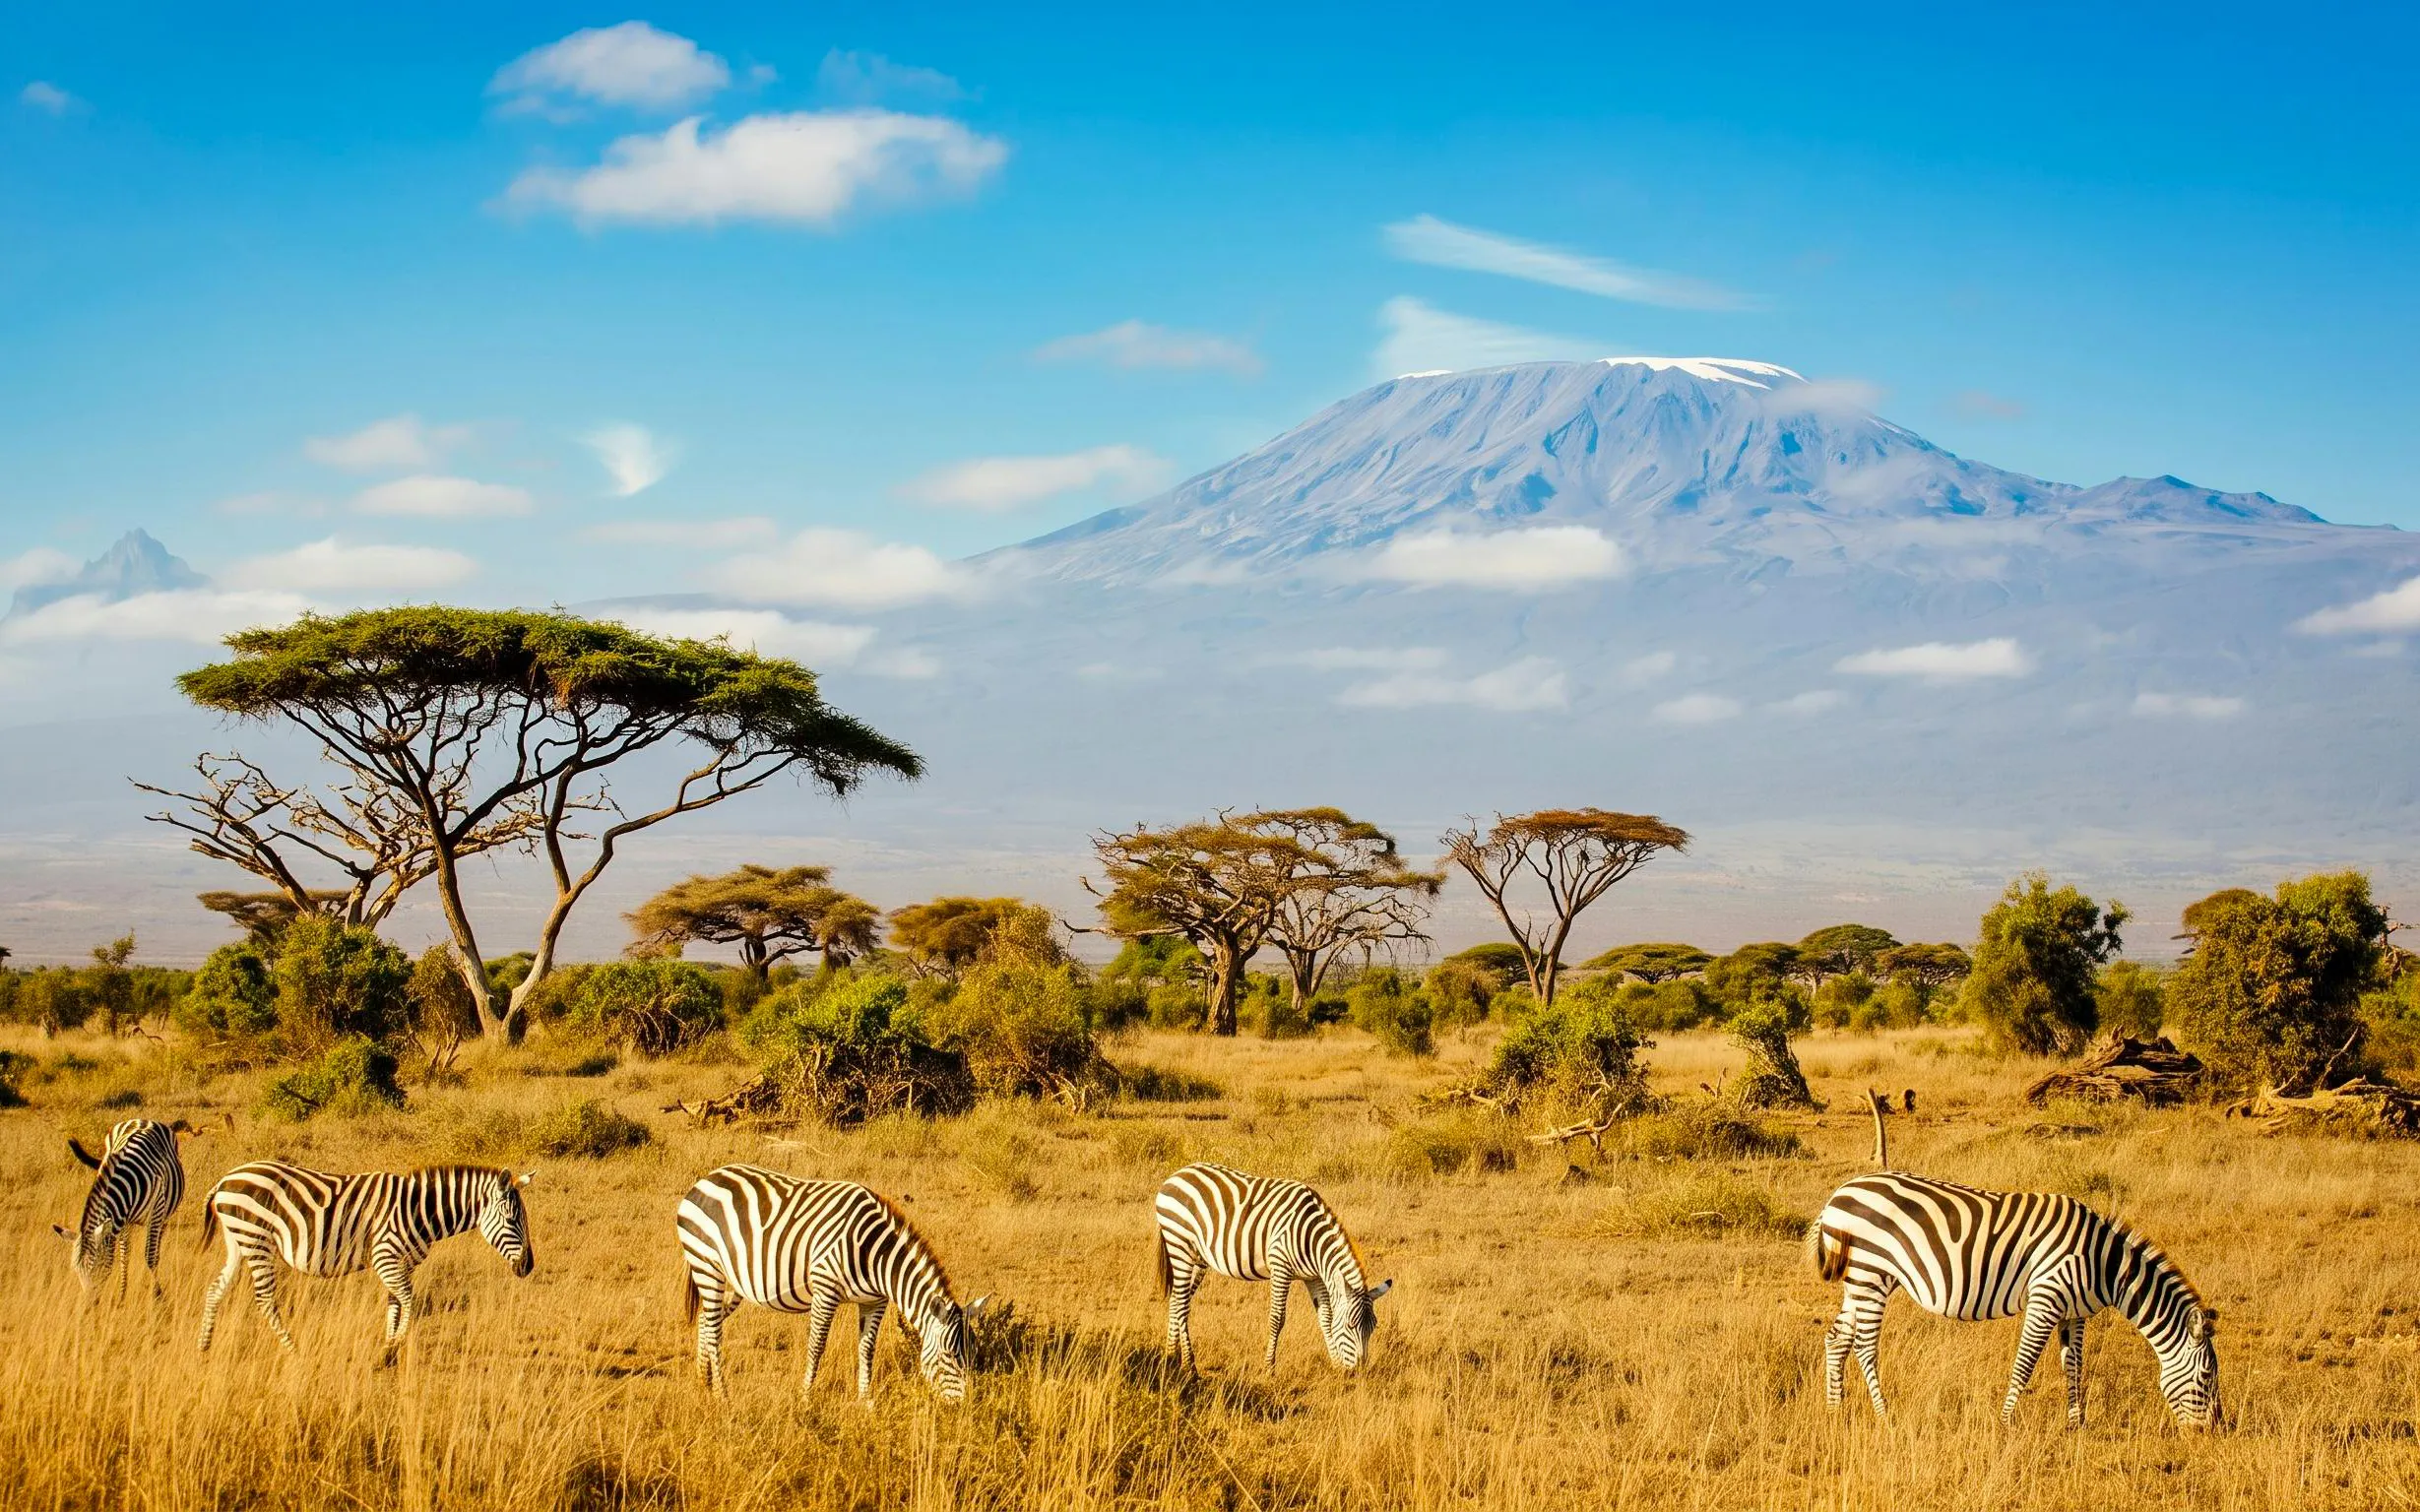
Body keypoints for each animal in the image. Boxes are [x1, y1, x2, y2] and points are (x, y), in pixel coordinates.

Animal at [53, 1118, 195, 1297]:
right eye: (76, 1271)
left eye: (97, 1267)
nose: (90, 1303)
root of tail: (143, 1119)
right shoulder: (123, 1218)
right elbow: (124, 1255)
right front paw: (122, 1295)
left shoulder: (156, 1210)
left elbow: (150, 1257)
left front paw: (158, 1295)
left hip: (163, 1212)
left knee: (156, 1248)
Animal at [197, 1162, 535, 1354]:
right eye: (511, 1220)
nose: (528, 1266)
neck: (420, 1210)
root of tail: (225, 1180)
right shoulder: (385, 1256)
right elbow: (409, 1301)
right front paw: (391, 1350)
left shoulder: (400, 1263)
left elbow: (395, 1304)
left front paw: (388, 1346)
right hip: (257, 1239)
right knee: (265, 1299)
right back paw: (293, 1349)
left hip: (238, 1240)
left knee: (215, 1289)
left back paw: (204, 1346)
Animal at [676, 1165, 989, 1404]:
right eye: (948, 1356)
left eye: (972, 1352)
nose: (964, 1407)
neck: (874, 1255)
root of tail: (706, 1178)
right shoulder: (825, 1289)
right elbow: (816, 1346)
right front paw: (806, 1399)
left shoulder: (875, 1301)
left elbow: (867, 1349)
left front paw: (867, 1403)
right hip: (706, 1266)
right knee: (715, 1331)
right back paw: (723, 1396)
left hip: (731, 1279)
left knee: (707, 1319)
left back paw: (704, 1381)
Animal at [1153, 1161, 1391, 1374]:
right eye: (1350, 1326)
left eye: (1373, 1327)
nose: (1359, 1372)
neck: (1311, 1239)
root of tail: (1177, 1173)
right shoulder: (1281, 1267)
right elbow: (1277, 1318)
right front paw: (1269, 1368)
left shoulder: (1313, 1276)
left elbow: (1326, 1317)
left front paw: (1335, 1364)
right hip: (1179, 1245)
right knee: (1182, 1305)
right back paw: (1190, 1366)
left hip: (1197, 1257)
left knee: (1177, 1299)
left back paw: (1171, 1356)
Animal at [1808, 1171, 2221, 1429]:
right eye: (2206, 1376)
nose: (2215, 1430)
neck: (2104, 1265)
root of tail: (1839, 1194)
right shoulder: (2046, 1298)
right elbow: (2024, 1365)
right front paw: (2005, 1423)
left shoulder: (2075, 1312)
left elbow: (2074, 1365)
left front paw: (2077, 1425)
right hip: (1871, 1273)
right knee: (1864, 1346)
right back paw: (1884, 1416)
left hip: (1861, 1279)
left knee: (1837, 1338)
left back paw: (1834, 1410)